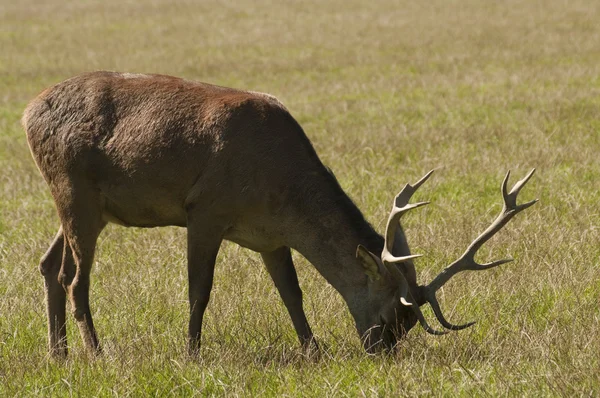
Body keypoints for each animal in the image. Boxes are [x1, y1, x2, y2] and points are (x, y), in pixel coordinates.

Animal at [22, 71, 540, 358]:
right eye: (397, 311)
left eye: (409, 321)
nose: (382, 351)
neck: (279, 188)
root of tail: (26, 111)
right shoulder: (204, 209)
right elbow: (199, 291)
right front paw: (192, 353)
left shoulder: (271, 238)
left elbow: (293, 295)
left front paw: (313, 350)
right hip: (73, 190)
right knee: (75, 277)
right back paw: (95, 352)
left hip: (85, 205)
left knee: (49, 265)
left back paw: (58, 353)